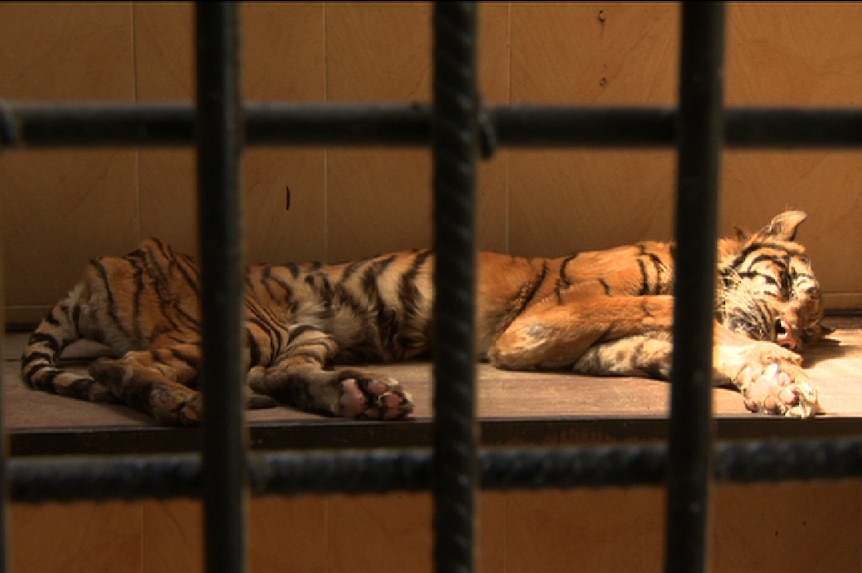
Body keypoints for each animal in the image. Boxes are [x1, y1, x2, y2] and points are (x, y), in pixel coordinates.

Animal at [22, 208, 832, 422]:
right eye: (787, 281)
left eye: (815, 321)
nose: (791, 331)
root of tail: (103, 263)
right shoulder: (536, 327)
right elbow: (646, 304)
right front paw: (771, 359)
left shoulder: (580, 345)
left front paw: (778, 377)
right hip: (246, 326)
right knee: (123, 365)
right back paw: (173, 401)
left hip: (301, 335)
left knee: (277, 379)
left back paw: (360, 396)